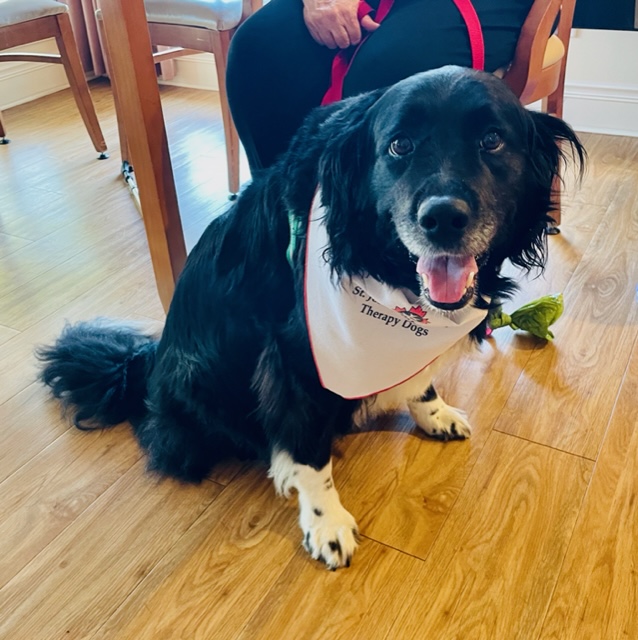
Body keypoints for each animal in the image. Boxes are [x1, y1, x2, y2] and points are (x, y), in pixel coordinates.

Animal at [36, 66, 584, 568]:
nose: (442, 218)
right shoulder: (297, 354)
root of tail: (143, 368)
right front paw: (326, 522)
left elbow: (420, 380)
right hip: (199, 382)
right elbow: (307, 449)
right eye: (399, 145)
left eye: (492, 140)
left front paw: (434, 413)